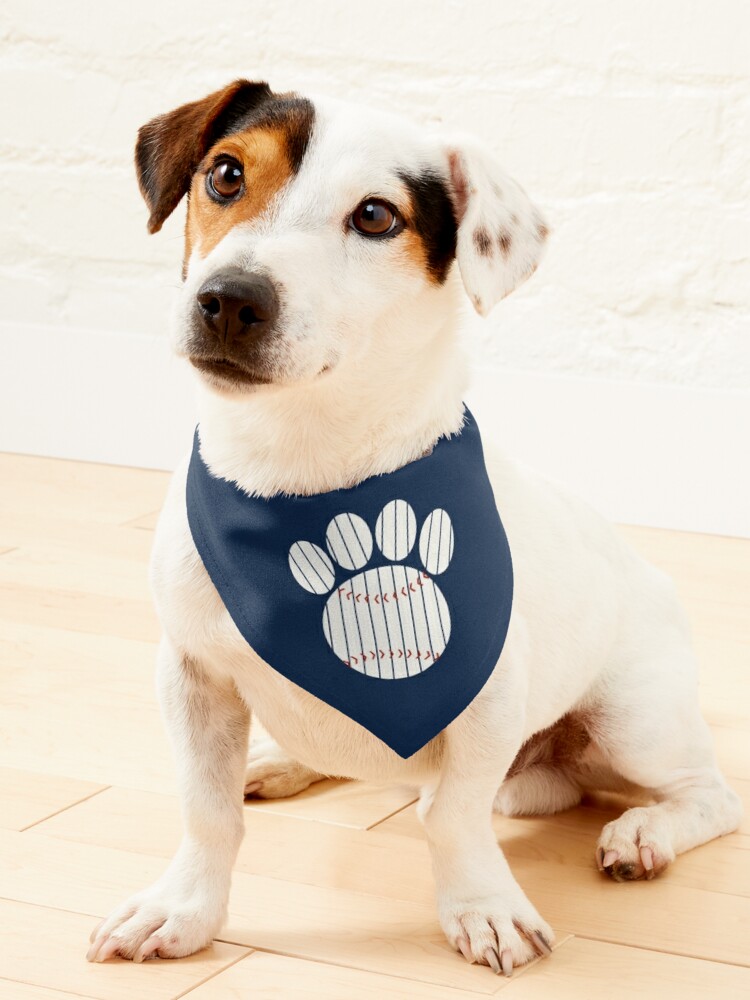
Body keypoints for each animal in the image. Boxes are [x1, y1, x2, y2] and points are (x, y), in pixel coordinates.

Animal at [85, 82, 744, 972]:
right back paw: (281, 761)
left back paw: (644, 833)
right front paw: (183, 909)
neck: (305, 475)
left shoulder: (487, 698)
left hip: (635, 719)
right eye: (225, 174)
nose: (229, 299)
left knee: (708, 796)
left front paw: (483, 908)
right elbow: (207, 810)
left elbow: (453, 817)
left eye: (375, 216)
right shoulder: (192, 677)